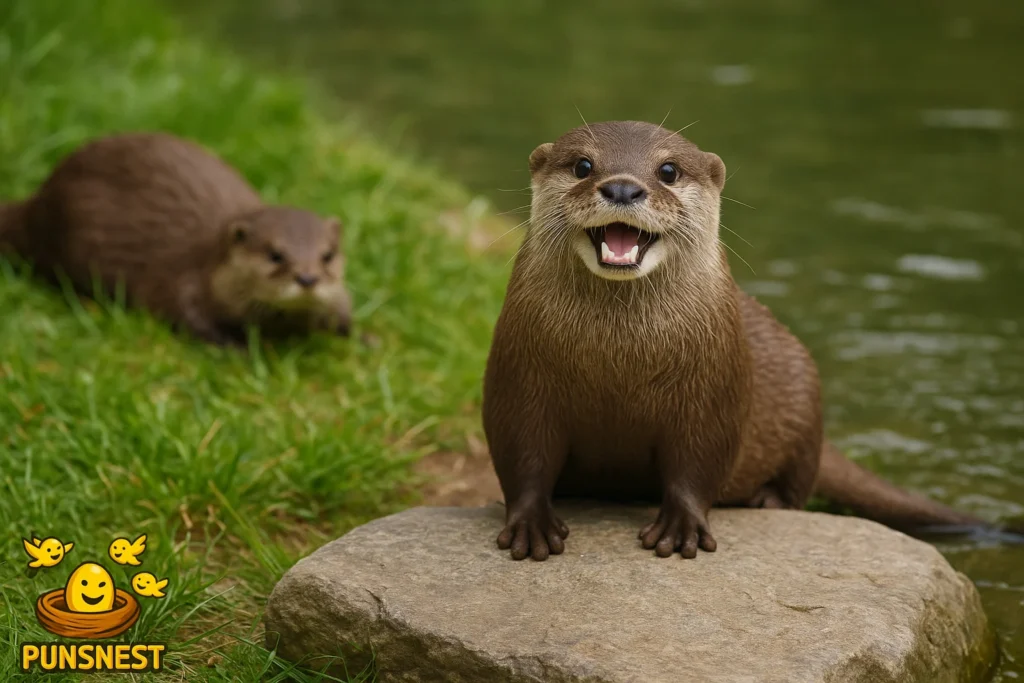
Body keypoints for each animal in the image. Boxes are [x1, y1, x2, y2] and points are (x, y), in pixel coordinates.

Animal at [0, 132, 351, 345]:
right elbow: (185, 313)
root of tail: (39, 200)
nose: (307, 278)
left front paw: (356, 333)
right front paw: (234, 344)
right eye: (275, 255)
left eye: (327, 255)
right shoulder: (183, 282)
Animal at [483, 120, 996, 561]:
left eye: (668, 170)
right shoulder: (518, 378)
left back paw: (767, 501)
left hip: (806, 395)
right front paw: (530, 525)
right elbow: (521, 456)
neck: (617, 361)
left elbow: (699, 461)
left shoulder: (714, 388)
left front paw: (682, 528)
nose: (623, 187)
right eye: (583, 166)